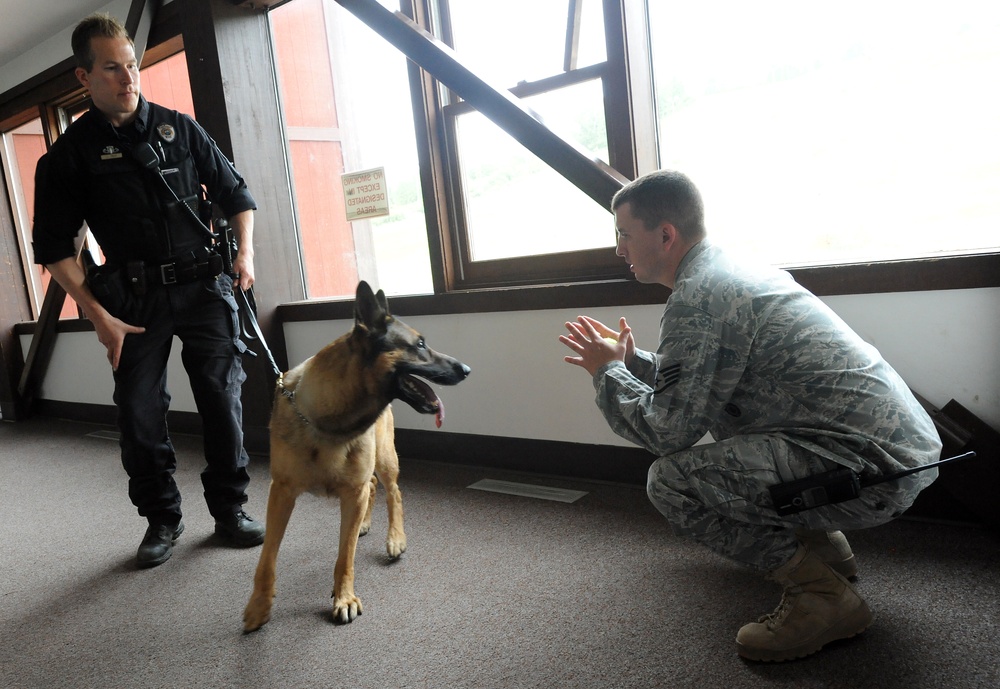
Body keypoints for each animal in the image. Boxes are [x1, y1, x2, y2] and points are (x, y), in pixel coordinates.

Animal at [245, 278, 472, 628]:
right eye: (419, 344)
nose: (467, 369)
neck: (328, 423)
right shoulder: (281, 494)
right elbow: (267, 557)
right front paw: (259, 604)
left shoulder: (352, 492)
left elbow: (345, 555)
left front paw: (344, 597)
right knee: (375, 487)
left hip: (385, 458)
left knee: (393, 491)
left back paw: (395, 537)